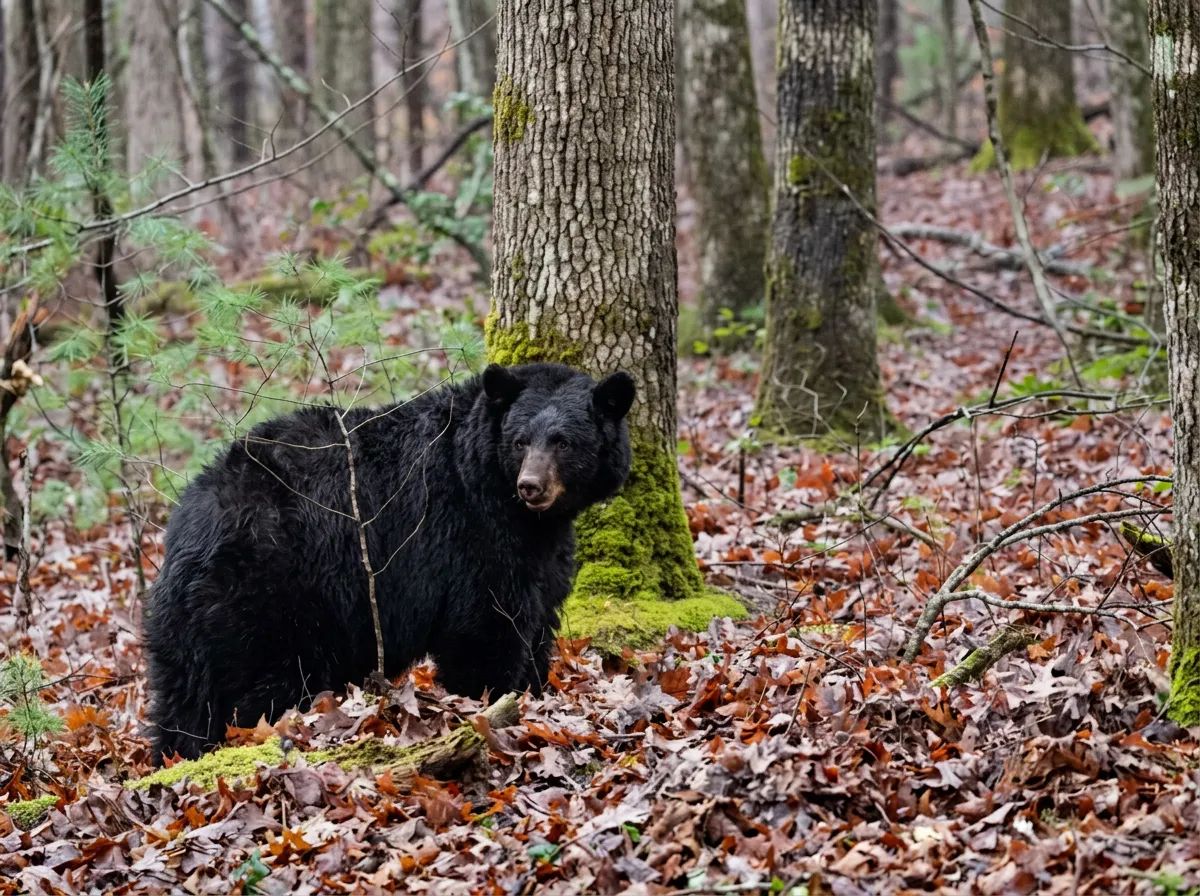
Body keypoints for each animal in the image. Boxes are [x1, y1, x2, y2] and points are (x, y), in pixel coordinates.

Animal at [143, 362, 634, 762]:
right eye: (519, 441)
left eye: (564, 442)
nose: (531, 485)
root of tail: (187, 530)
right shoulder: (469, 537)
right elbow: (485, 628)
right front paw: (492, 700)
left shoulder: (540, 552)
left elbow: (538, 615)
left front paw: (533, 688)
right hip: (272, 598)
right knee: (262, 686)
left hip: (195, 627)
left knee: (185, 698)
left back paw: (177, 754)